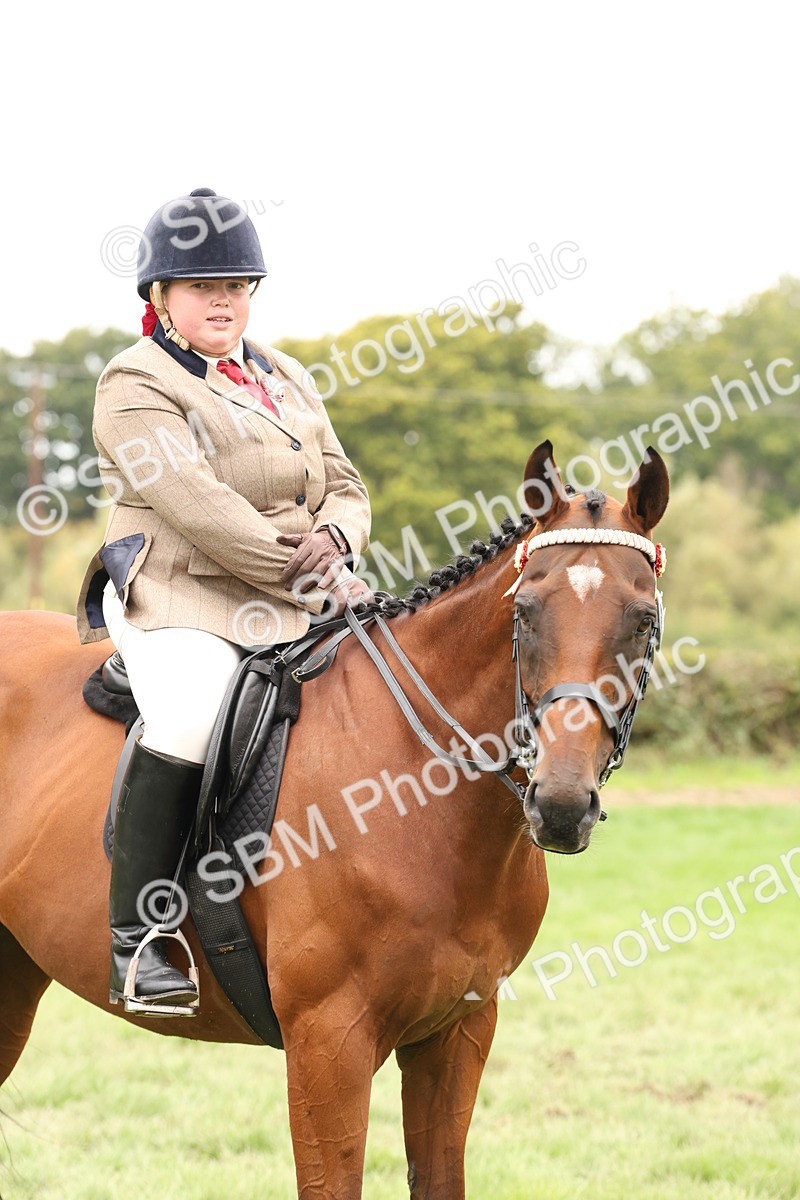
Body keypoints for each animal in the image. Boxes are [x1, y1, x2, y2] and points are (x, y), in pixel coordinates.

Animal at [0, 440, 669, 1199]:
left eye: (642, 619)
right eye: (524, 610)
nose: (559, 804)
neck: (417, 791)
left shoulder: (458, 1031)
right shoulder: (329, 1042)